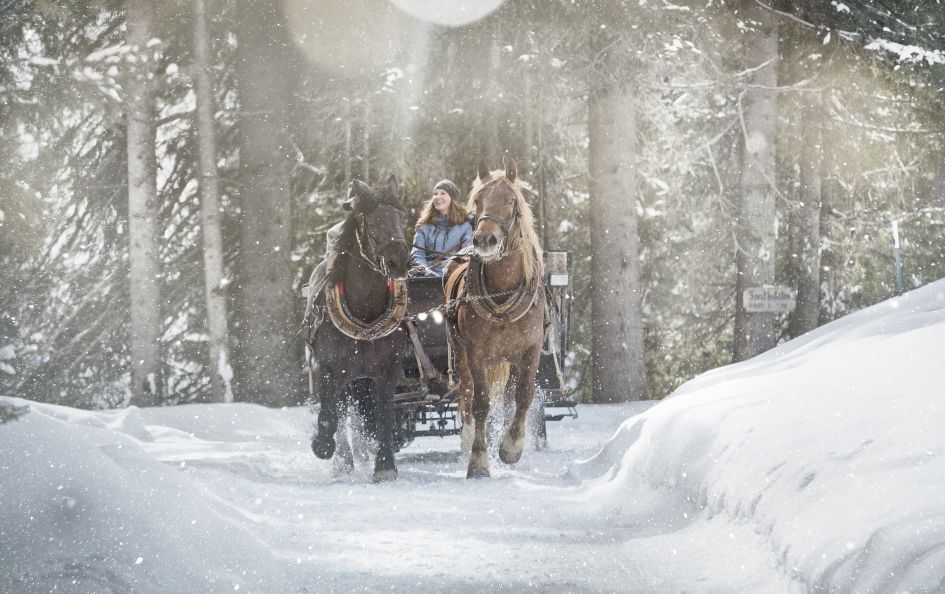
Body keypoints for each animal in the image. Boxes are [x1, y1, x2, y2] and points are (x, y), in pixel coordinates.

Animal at [306, 176, 410, 480]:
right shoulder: (327, 369)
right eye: (372, 221)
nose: (400, 262)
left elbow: (384, 414)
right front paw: (322, 446)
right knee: (341, 414)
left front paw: (385, 466)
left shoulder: (388, 370)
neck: (365, 314)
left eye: (402, 217)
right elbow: (330, 416)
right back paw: (342, 461)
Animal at [444, 158, 544, 476]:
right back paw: (467, 443)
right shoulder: (477, 353)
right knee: (466, 395)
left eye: (511, 201)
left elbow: (523, 396)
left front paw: (511, 447)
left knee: (510, 397)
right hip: (461, 354)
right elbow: (480, 403)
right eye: (477, 201)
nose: (484, 239)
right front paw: (478, 459)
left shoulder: (531, 349)